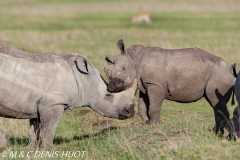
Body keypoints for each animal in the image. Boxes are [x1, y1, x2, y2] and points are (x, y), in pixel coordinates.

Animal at [0, 41, 137, 149]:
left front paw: (31, 150)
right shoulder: (53, 103)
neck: (82, 79)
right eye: (108, 95)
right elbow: (49, 129)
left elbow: (35, 130)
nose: (130, 112)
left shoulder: (37, 104)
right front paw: (50, 150)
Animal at [104, 39, 234, 134]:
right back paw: (215, 131)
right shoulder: (145, 84)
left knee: (217, 102)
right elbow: (142, 106)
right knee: (216, 104)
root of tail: (229, 68)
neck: (135, 59)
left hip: (219, 73)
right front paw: (146, 123)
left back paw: (220, 133)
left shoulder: (155, 85)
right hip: (217, 73)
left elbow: (154, 105)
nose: (112, 87)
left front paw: (155, 125)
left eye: (124, 69)